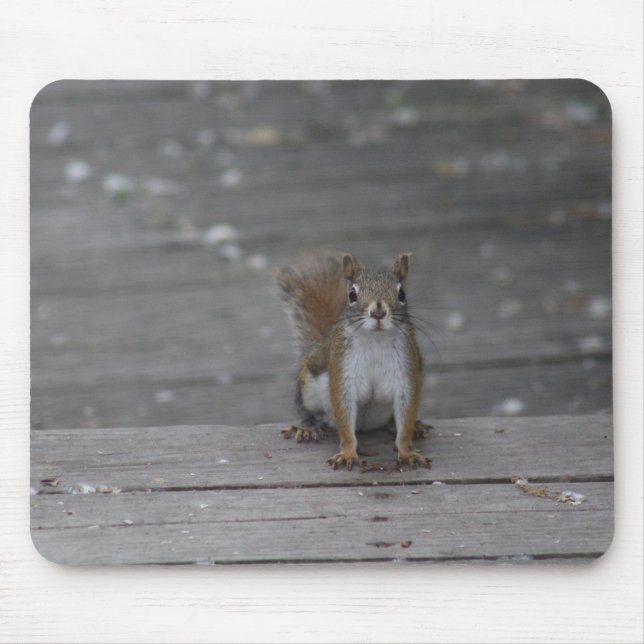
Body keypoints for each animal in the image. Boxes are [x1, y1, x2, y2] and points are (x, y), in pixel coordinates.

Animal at [276, 253, 431, 470]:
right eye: (352, 294)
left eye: (402, 294)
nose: (378, 312)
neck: (375, 340)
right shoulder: (342, 372)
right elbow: (344, 413)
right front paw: (348, 453)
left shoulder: (407, 373)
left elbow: (406, 414)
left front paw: (406, 451)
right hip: (308, 385)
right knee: (306, 410)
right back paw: (307, 427)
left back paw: (411, 426)